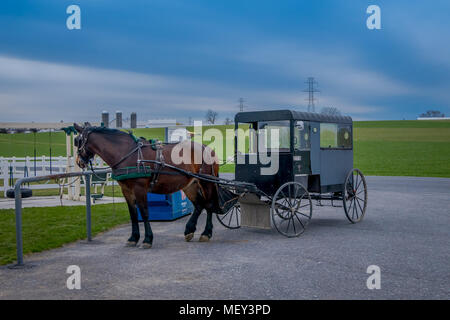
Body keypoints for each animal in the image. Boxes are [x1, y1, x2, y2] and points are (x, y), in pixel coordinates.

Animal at [73, 122, 221, 248]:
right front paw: (133, 238)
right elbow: (133, 214)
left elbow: (144, 212)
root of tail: (208, 148)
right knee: (199, 205)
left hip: (206, 182)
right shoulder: (126, 190)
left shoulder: (140, 189)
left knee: (208, 205)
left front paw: (147, 239)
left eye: (77, 141)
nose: (79, 162)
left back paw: (206, 233)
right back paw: (189, 230)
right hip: (190, 185)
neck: (127, 153)